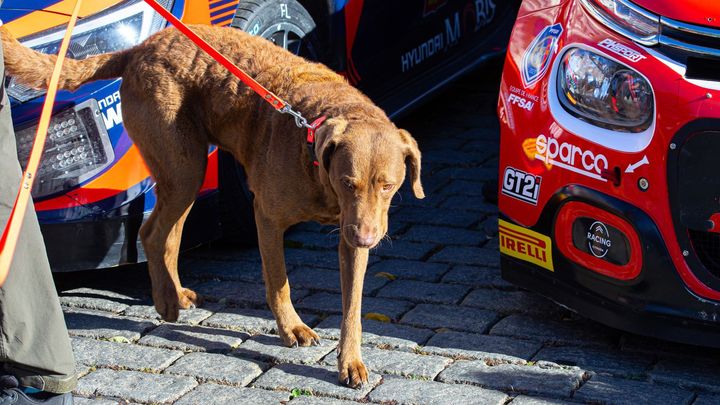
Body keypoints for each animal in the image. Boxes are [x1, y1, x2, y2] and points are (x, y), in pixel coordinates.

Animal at [2, 24, 424, 386]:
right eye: (347, 183)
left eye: (388, 186)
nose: (367, 238)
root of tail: (138, 49)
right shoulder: (267, 217)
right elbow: (279, 283)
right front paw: (292, 328)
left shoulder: (352, 235)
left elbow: (352, 307)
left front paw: (350, 363)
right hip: (183, 166)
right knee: (151, 233)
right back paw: (165, 302)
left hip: (187, 173)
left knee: (166, 237)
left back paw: (175, 294)